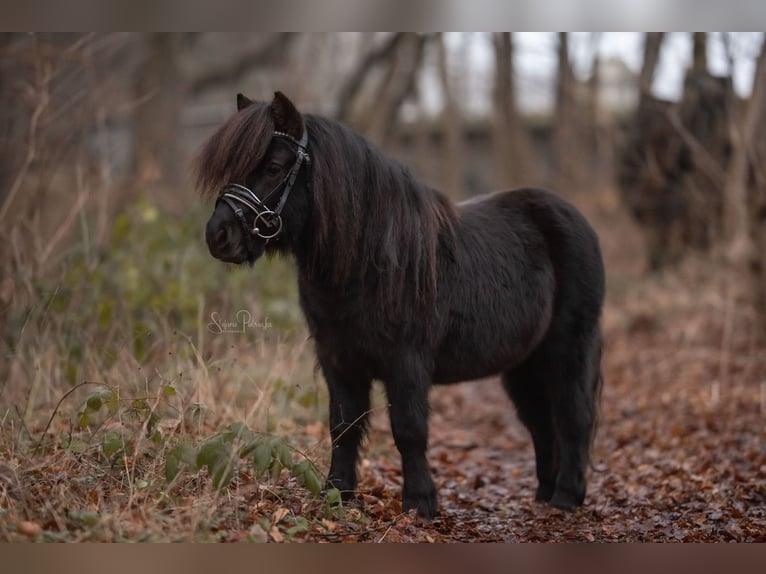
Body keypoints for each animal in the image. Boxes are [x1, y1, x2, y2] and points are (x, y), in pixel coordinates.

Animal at [198, 92, 608, 520]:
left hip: (568, 348)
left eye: (274, 167)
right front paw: (337, 493)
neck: (373, 261)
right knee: (541, 422)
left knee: (573, 417)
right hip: (523, 363)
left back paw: (567, 496)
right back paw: (545, 492)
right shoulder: (338, 361)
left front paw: (419, 502)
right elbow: (342, 426)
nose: (218, 236)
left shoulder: (406, 361)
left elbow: (409, 429)